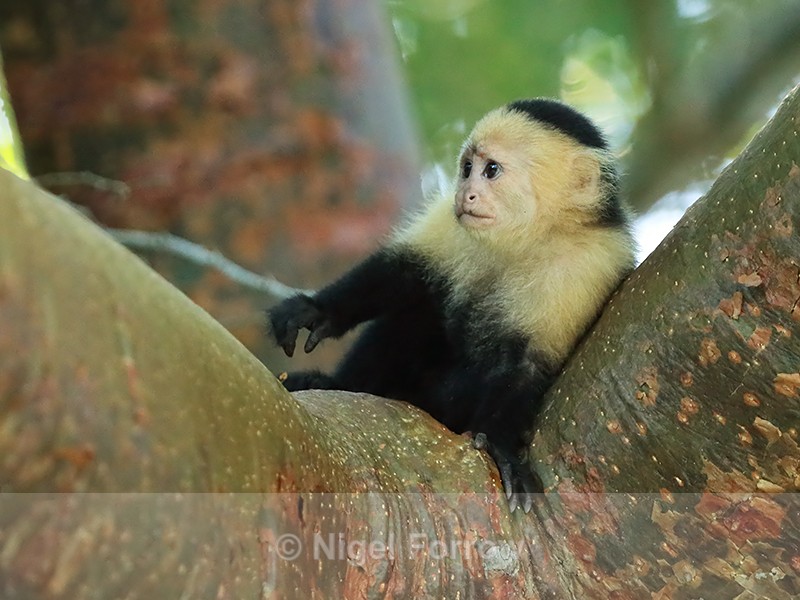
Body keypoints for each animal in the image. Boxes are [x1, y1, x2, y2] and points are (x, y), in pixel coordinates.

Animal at [269, 98, 636, 511]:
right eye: (467, 169)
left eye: (491, 170)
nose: (466, 194)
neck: (528, 240)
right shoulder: (451, 222)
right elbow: (407, 272)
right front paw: (316, 311)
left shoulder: (587, 266)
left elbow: (527, 365)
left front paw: (502, 449)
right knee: (418, 313)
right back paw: (341, 384)